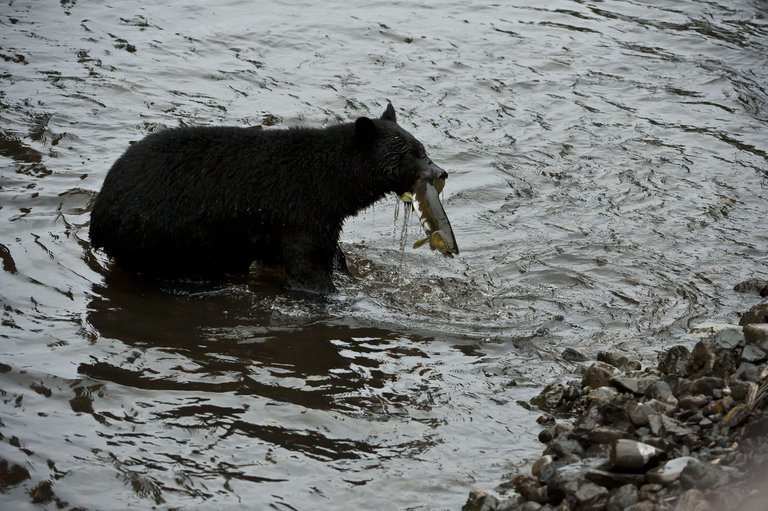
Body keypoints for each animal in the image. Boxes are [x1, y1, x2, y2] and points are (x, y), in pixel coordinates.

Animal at [90, 104, 448, 294]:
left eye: (422, 148)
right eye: (412, 154)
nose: (440, 172)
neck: (330, 180)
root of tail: (98, 218)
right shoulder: (300, 213)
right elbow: (308, 267)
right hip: (165, 236)